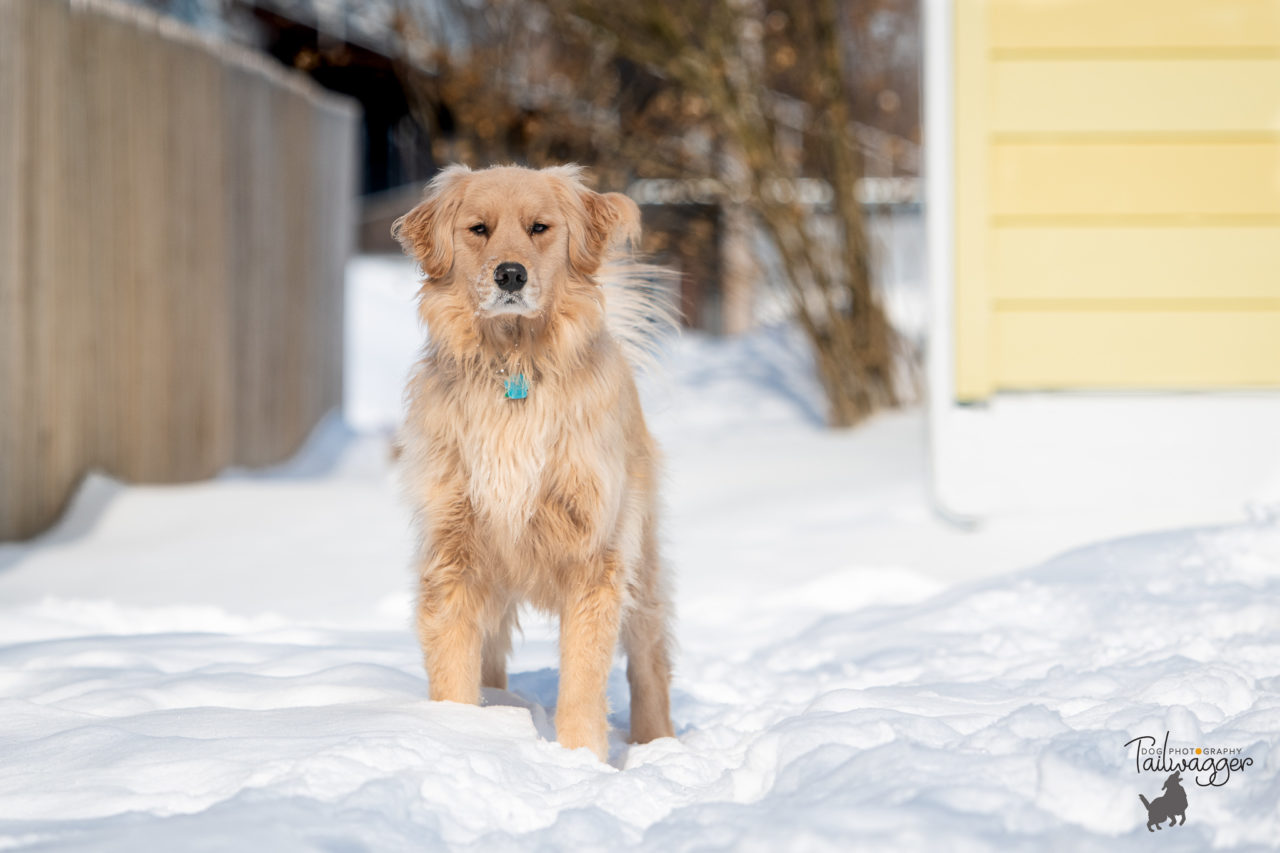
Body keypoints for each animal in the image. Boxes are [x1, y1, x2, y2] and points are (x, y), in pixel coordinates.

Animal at [394, 166, 680, 758]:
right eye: (478, 229)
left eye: (539, 228)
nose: (510, 274)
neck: (515, 364)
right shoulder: (452, 555)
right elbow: (453, 673)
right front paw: (455, 735)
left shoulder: (595, 559)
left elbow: (583, 685)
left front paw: (581, 762)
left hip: (641, 561)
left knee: (649, 662)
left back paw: (657, 746)